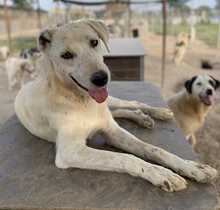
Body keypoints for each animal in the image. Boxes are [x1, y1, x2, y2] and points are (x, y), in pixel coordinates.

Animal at [14, 19, 217, 192]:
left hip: (110, 100)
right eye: (66, 55)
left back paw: (154, 113)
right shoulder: (69, 151)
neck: (82, 101)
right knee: (118, 112)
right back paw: (142, 118)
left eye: (94, 42)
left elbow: (154, 149)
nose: (101, 78)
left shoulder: (112, 132)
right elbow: (127, 158)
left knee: (128, 104)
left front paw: (192, 167)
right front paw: (162, 174)